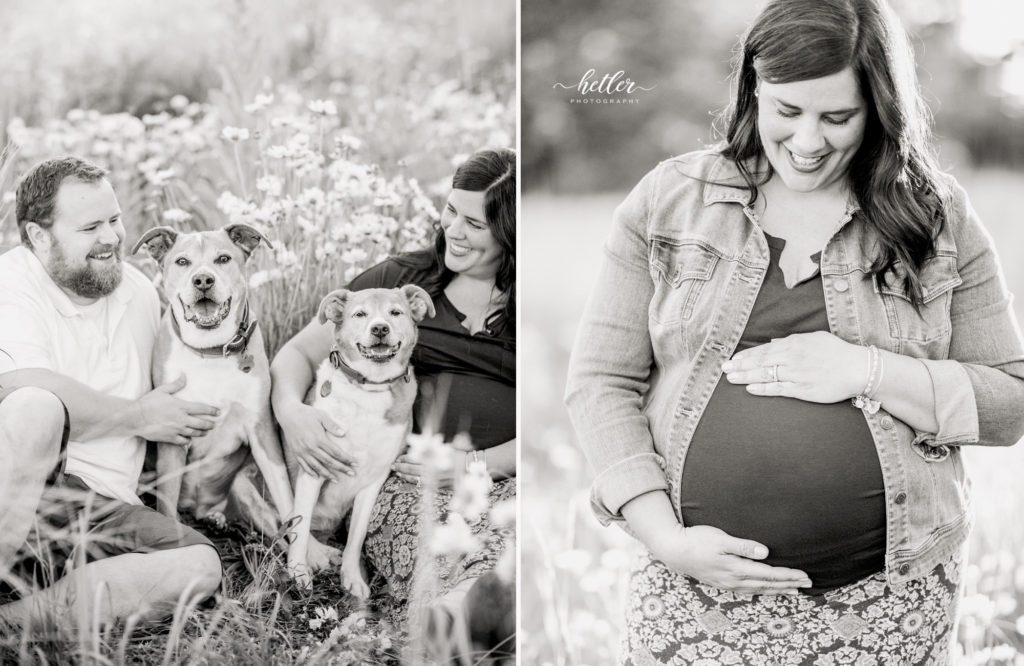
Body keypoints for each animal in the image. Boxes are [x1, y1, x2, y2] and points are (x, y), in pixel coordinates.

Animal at [286, 282, 434, 594]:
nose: (380, 328)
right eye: (360, 314)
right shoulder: (313, 468)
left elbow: (356, 537)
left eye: (395, 312)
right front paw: (297, 571)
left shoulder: (373, 480)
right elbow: (300, 526)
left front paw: (352, 578)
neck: (369, 390)